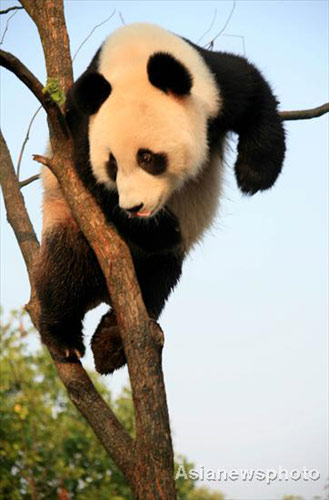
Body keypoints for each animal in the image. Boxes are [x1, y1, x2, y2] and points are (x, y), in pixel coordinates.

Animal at [34, 23, 284, 376]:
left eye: (148, 158)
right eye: (112, 164)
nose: (135, 208)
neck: (134, 59)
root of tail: (102, 289)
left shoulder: (214, 83)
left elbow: (254, 96)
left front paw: (254, 175)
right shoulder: (80, 129)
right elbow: (87, 178)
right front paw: (164, 229)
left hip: (153, 269)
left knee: (155, 283)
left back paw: (111, 342)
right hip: (68, 216)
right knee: (64, 267)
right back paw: (66, 339)